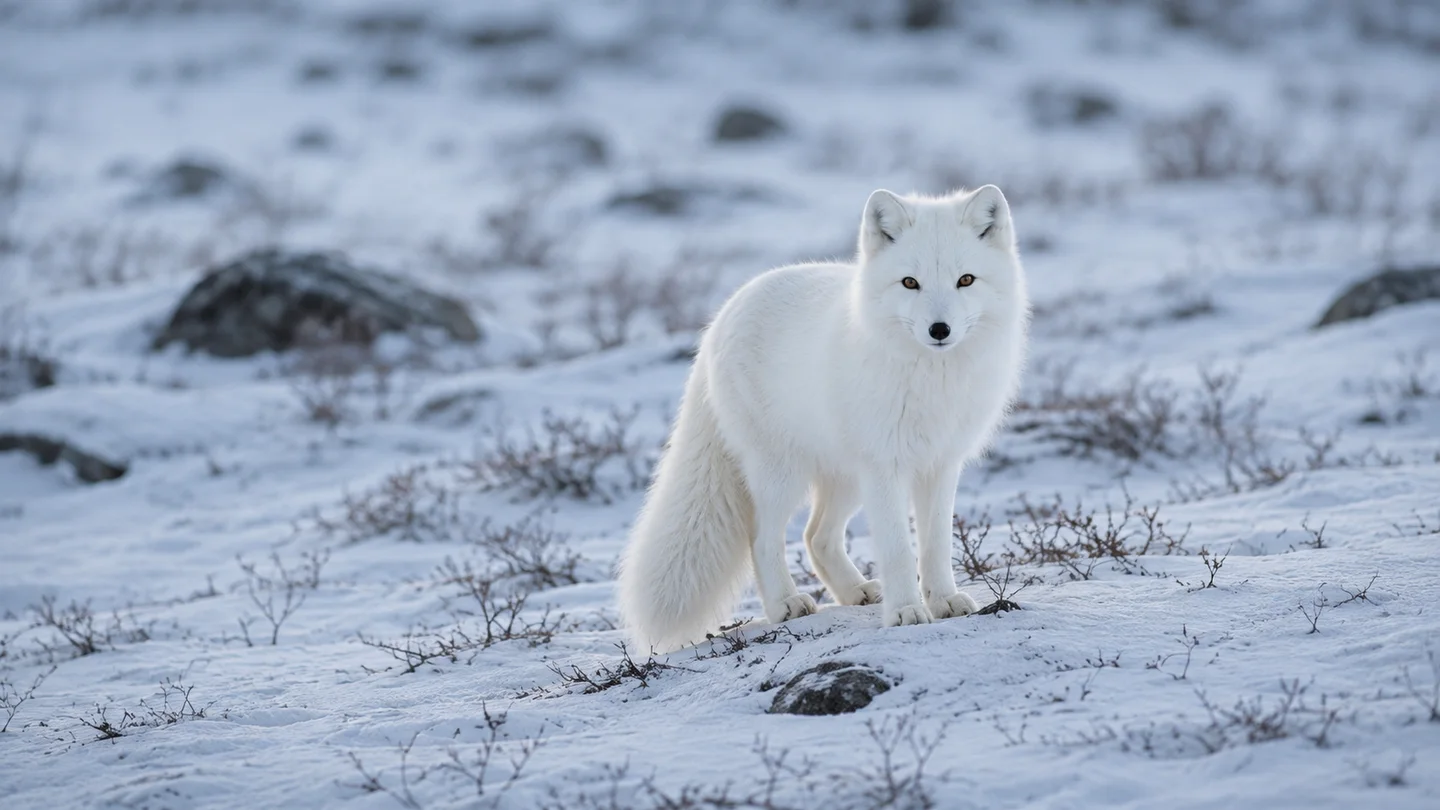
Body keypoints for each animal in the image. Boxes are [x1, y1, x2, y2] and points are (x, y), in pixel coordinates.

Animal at [618, 186, 1030, 652]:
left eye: (966, 280)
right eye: (910, 282)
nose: (939, 330)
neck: (932, 378)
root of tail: (720, 318)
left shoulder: (940, 464)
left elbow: (935, 544)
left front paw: (943, 600)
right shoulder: (884, 466)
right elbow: (897, 549)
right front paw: (907, 612)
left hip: (845, 477)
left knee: (816, 537)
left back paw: (856, 591)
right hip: (784, 474)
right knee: (762, 537)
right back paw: (786, 604)